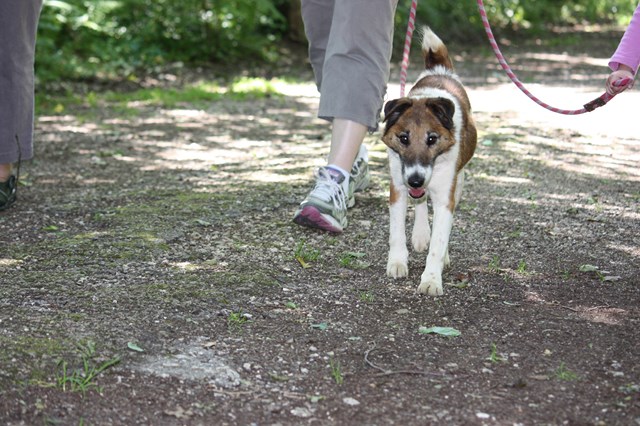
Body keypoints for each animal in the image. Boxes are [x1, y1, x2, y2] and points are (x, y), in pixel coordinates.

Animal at [380, 27, 476, 296]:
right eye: (403, 138)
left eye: (432, 139)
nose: (416, 180)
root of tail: (439, 71)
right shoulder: (398, 187)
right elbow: (396, 231)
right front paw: (397, 262)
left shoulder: (445, 197)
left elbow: (439, 242)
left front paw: (432, 278)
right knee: (421, 204)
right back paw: (421, 233)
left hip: (459, 181)